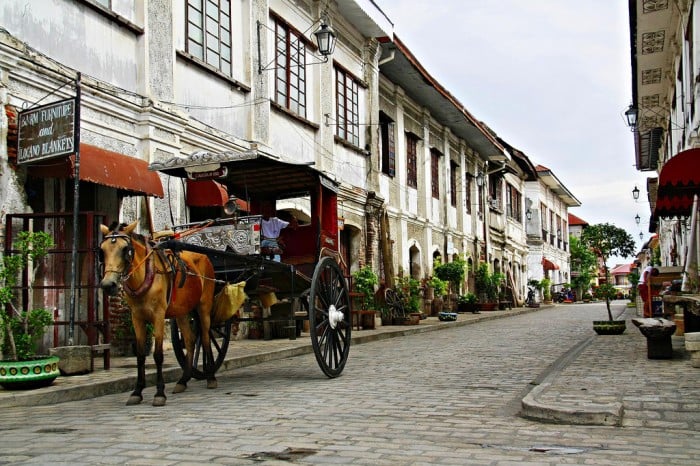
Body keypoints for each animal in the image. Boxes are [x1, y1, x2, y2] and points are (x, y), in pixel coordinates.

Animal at [98, 220, 217, 406]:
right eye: (102, 251)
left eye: (125, 249)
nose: (108, 285)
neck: (145, 275)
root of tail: (203, 255)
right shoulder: (136, 317)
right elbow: (140, 355)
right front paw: (137, 391)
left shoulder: (158, 316)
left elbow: (158, 355)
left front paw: (159, 393)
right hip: (182, 311)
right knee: (190, 341)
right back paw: (183, 380)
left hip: (204, 305)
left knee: (205, 338)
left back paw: (211, 377)